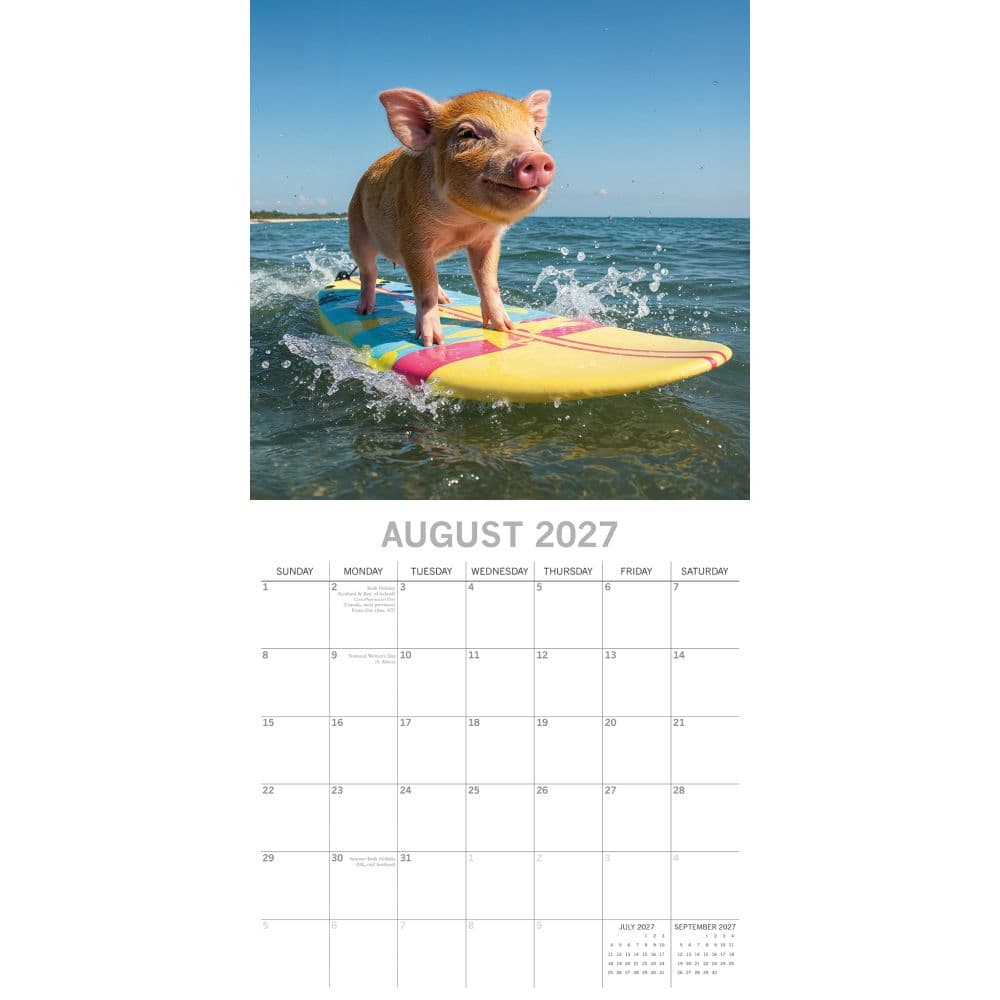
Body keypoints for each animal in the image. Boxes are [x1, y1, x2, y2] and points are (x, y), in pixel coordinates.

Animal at [348, 88, 555, 346]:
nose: (536, 158)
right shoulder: (412, 239)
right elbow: (424, 286)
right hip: (356, 228)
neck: (463, 222)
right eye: (468, 133)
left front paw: (506, 328)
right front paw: (432, 342)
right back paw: (364, 311)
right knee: (369, 271)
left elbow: (488, 281)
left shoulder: (487, 241)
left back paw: (445, 300)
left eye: (535, 132)